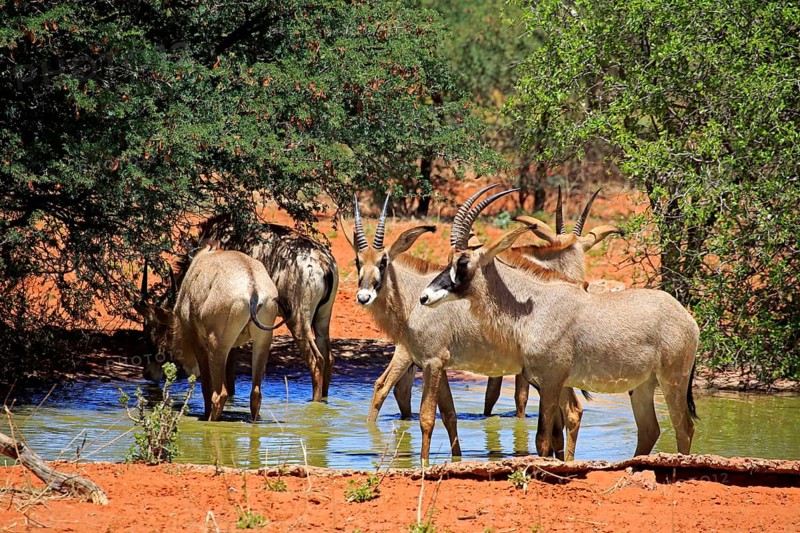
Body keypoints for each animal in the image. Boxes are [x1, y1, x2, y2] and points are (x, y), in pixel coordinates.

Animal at [134, 243, 287, 421]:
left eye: (148, 336)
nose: (148, 374)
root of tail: (253, 288)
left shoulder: (197, 340)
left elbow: (206, 385)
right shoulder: (232, 347)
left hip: (217, 345)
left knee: (220, 394)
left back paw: (209, 419)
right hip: (262, 342)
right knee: (255, 394)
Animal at [166, 214, 339, 402]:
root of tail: (323, 261)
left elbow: (229, 363)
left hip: (299, 321)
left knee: (317, 360)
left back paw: (314, 402)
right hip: (322, 319)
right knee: (328, 358)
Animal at [342, 190, 583, 461]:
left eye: (383, 261)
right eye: (357, 261)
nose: (364, 296)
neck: (413, 298)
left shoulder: (432, 362)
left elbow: (427, 418)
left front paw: (424, 464)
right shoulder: (439, 365)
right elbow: (449, 415)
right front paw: (455, 459)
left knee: (571, 412)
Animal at [419, 189, 699, 458]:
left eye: (463, 262)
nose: (425, 297)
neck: (534, 306)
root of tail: (687, 318)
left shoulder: (551, 382)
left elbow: (543, 438)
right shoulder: (554, 382)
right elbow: (558, 431)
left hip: (673, 379)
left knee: (684, 427)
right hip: (642, 385)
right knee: (650, 430)